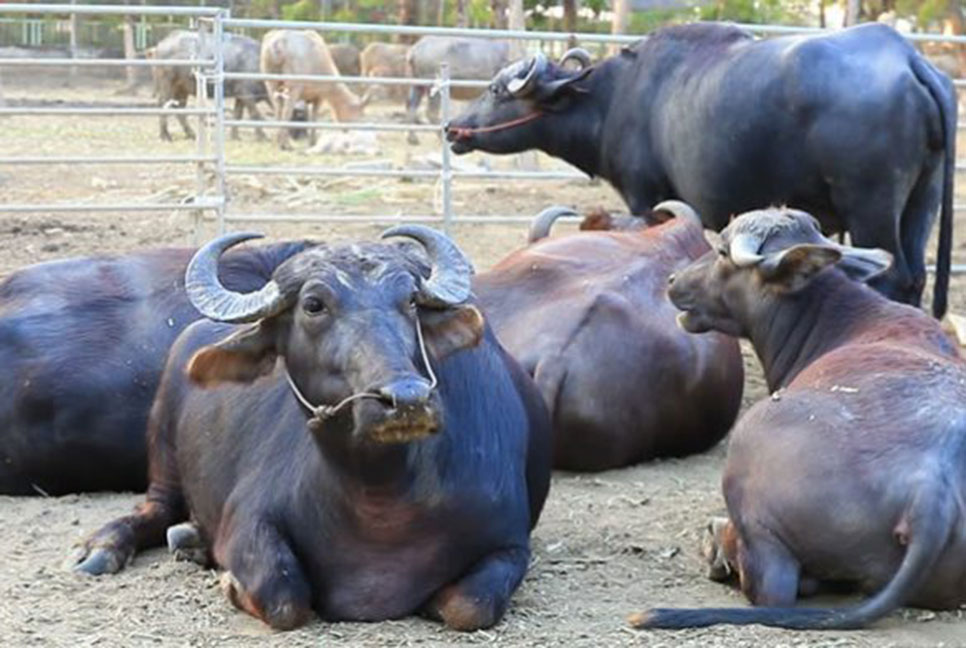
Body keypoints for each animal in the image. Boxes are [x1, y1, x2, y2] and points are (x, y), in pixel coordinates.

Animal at [74, 227, 552, 632]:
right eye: (314, 305)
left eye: (411, 301)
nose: (407, 399)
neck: (382, 497)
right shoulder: (249, 519)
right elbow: (283, 595)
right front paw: (230, 582)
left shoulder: (510, 542)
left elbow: (470, 606)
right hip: (163, 448)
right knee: (155, 508)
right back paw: (105, 547)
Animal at [448, 24, 960, 318]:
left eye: (497, 90)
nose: (453, 127)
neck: (613, 99)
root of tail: (906, 57)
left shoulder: (643, 194)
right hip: (924, 199)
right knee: (914, 276)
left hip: (872, 205)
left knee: (892, 274)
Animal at [632, 206, 966, 628]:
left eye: (723, 251)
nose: (674, 280)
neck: (847, 321)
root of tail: (930, 490)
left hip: (750, 464)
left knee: (771, 587)